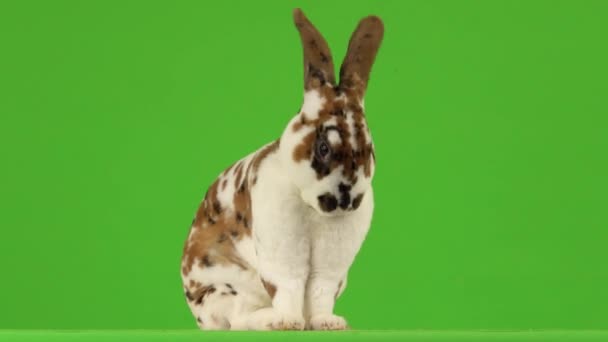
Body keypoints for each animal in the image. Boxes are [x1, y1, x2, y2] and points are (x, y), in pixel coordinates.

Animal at [178, 8, 384, 330]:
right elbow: (289, 285)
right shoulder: (281, 252)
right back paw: (270, 320)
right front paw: (288, 321)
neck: (312, 208)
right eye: (323, 147)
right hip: (227, 289)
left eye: (369, 149)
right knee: (238, 320)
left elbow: (320, 290)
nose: (347, 201)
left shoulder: (331, 267)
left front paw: (326, 323)